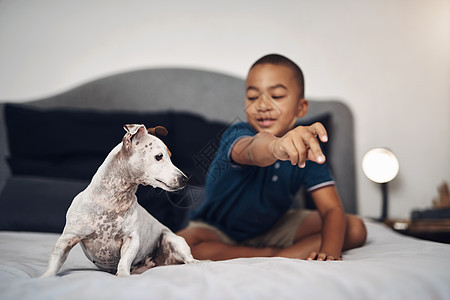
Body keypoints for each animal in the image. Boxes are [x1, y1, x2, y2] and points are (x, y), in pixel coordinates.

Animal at [40, 123, 197, 276]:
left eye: (169, 156)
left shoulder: (131, 239)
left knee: (188, 259)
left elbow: (124, 262)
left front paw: (122, 275)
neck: (112, 202)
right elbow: (53, 265)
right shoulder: (67, 239)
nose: (185, 179)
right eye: (159, 156)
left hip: (174, 240)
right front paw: (45, 278)